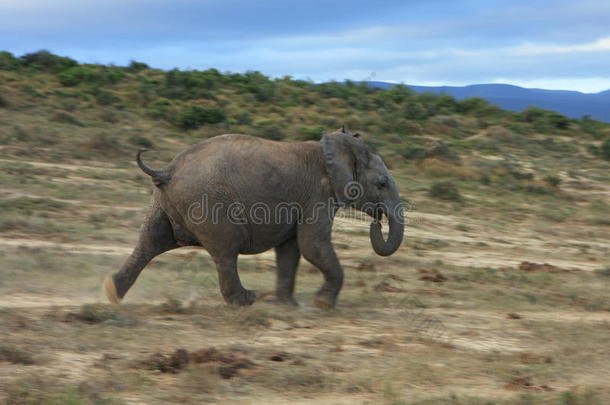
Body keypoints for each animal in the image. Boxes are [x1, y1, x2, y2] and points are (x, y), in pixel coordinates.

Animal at [102, 124, 402, 308]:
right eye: (382, 184)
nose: (377, 221)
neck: (331, 150)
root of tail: (167, 171)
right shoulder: (317, 196)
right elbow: (312, 245)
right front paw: (321, 306)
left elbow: (291, 250)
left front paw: (287, 305)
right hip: (210, 204)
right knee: (225, 251)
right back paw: (246, 300)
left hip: (164, 204)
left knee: (150, 242)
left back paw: (112, 292)